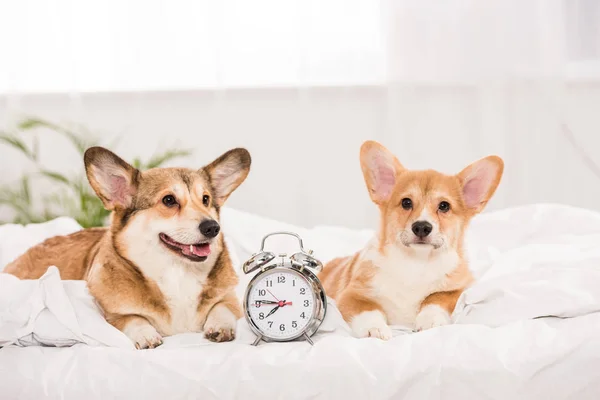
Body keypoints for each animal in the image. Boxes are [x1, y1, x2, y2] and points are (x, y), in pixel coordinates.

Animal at [4, 146, 251, 346]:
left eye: (206, 199)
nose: (213, 228)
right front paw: (146, 335)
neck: (176, 274)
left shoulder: (230, 299)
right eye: (169, 200)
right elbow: (133, 318)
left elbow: (222, 307)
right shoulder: (111, 315)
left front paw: (220, 327)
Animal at [322, 141, 504, 340]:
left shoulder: (459, 289)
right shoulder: (351, 294)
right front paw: (374, 328)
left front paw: (429, 320)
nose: (422, 227)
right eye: (406, 202)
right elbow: (368, 310)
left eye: (444, 206)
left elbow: (436, 298)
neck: (416, 263)